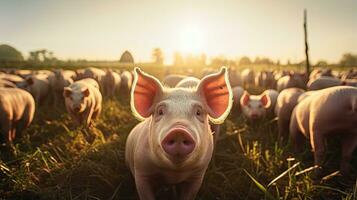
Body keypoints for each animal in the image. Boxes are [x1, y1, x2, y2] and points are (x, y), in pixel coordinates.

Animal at [126, 67, 234, 198]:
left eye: (198, 112)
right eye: (160, 111)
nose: (179, 131)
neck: (174, 173)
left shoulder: (198, 175)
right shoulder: (141, 171)